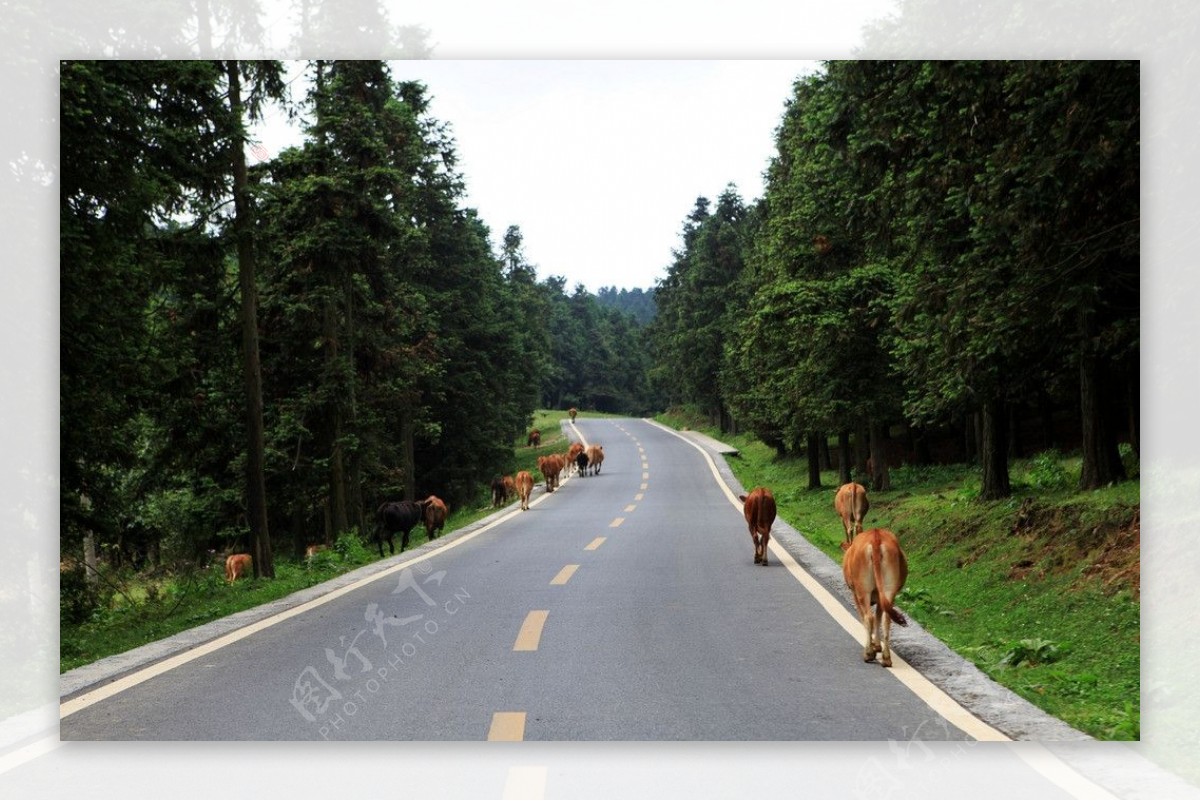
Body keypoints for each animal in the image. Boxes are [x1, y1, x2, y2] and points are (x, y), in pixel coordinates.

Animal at [840, 527, 902, 666]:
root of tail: (875, 535)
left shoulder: (855, 595)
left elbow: (865, 619)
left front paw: (873, 645)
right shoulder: (880, 599)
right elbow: (878, 617)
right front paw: (877, 645)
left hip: (863, 590)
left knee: (869, 617)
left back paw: (868, 654)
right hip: (889, 590)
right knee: (886, 619)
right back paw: (886, 658)